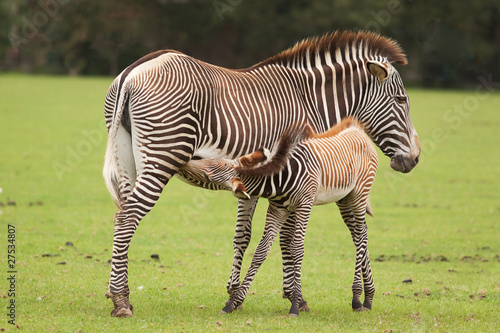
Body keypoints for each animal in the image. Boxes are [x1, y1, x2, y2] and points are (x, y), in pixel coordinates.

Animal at [180, 116, 378, 314]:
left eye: (208, 177)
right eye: (213, 159)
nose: (184, 162)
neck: (280, 180)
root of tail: (357, 129)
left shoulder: (304, 205)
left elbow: (297, 248)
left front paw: (295, 305)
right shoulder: (277, 209)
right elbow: (261, 251)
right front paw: (233, 302)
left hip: (359, 194)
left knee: (361, 234)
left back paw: (358, 298)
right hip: (344, 198)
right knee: (360, 233)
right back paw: (368, 297)